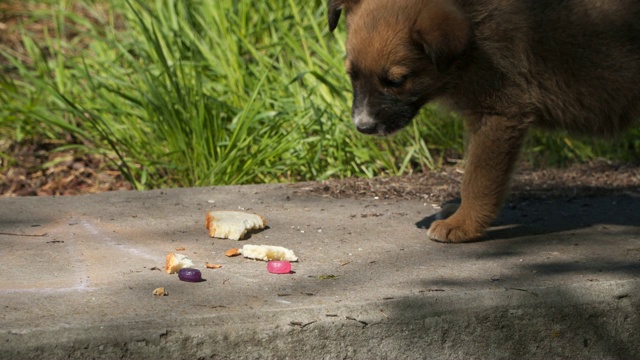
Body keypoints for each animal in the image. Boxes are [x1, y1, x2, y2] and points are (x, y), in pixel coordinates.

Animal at [330, 0, 640, 243]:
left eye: (396, 81)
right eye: (352, 75)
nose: (363, 127)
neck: (472, 36)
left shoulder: (499, 114)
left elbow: (478, 178)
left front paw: (463, 224)